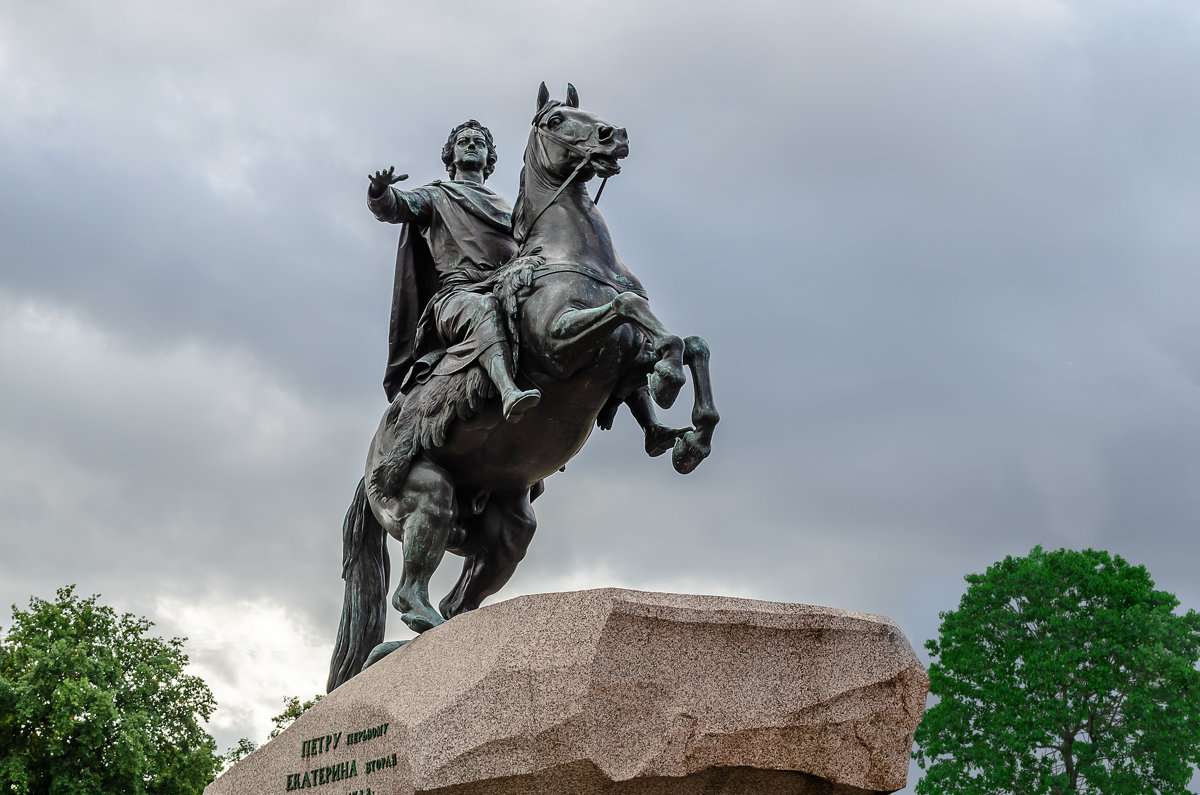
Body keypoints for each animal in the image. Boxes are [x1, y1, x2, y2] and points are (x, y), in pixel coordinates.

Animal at [328, 82, 715, 691]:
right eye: (556, 120)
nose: (615, 135)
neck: (572, 254)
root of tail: (367, 473)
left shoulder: (624, 360)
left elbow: (685, 341)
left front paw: (690, 435)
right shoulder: (559, 346)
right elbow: (633, 310)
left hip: (509, 531)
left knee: (460, 601)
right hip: (428, 497)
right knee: (413, 595)